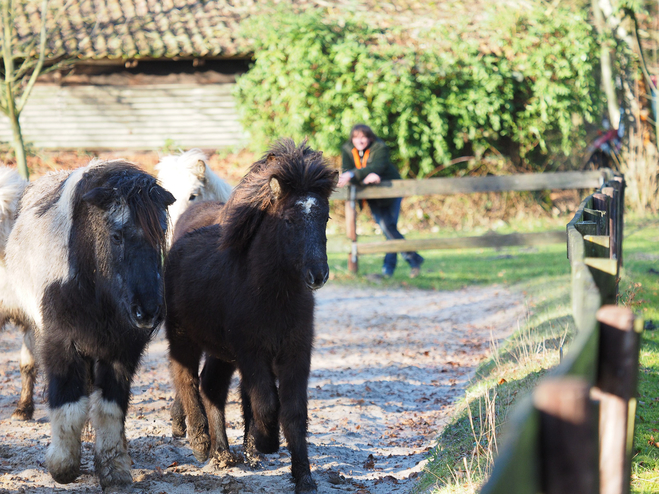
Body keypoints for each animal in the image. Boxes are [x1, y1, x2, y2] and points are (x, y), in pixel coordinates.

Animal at [1, 161, 175, 490]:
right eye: (116, 236)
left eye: (160, 234)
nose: (148, 312)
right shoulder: (60, 344)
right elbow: (69, 403)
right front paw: (63, 466)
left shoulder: (120, 350)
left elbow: (109, 408)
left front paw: (114, 469)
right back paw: (22, 411)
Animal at [164, 140, 338, 494]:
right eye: (288, 221)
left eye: (325, 218)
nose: (318, 274)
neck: (274, 295)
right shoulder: (252, 352)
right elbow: (266, 402)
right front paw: (265, 442)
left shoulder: (296, 353)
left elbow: (294, 412)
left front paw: (304, 477)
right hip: (183, 337)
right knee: (185, 378)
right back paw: (200, 441)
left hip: (221, 351)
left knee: (211, 387)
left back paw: (222, 453)